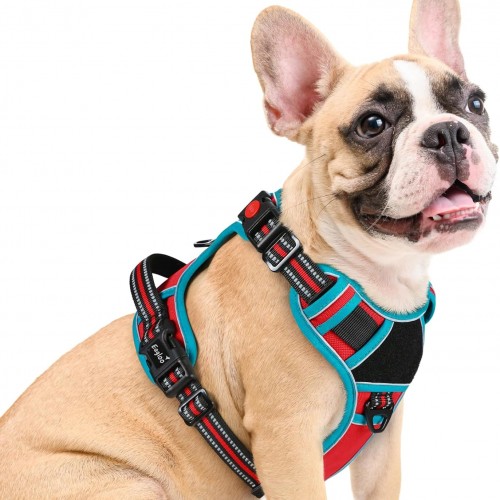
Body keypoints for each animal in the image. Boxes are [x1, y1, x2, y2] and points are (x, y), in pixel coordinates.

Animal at [0, 0, 496, 498]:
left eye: (476, 103)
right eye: (371, 124)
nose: (447, 133)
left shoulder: (381, 439)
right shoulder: (288, 438)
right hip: (129, 482)